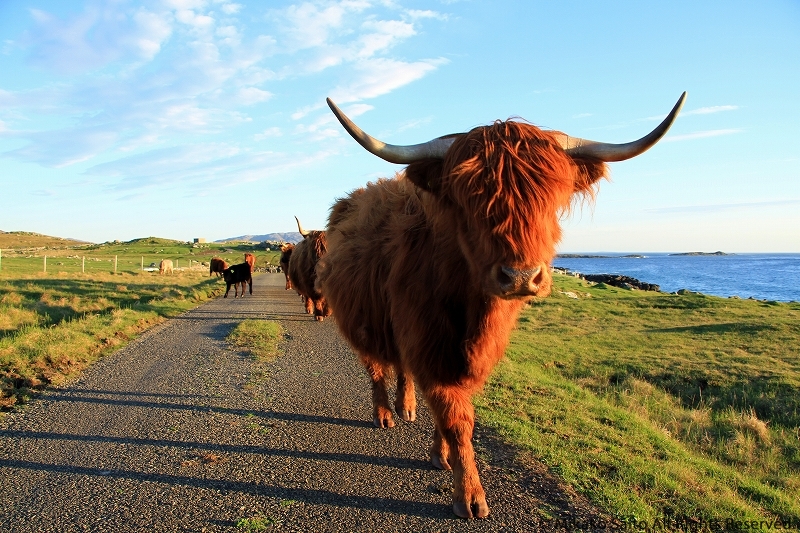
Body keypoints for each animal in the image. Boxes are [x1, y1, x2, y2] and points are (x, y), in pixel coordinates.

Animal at [316, 93, 684, 516]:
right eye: (469, 199)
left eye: (551, 197)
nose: (521, 277)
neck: (472, 306)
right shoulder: (429, 340)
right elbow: (455, 417)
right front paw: (470, 496)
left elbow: (449, 412)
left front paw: (441, 456)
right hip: (361, 320)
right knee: (376, 366)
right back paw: (383, 415)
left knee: (402, 371)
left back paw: (405, 407)